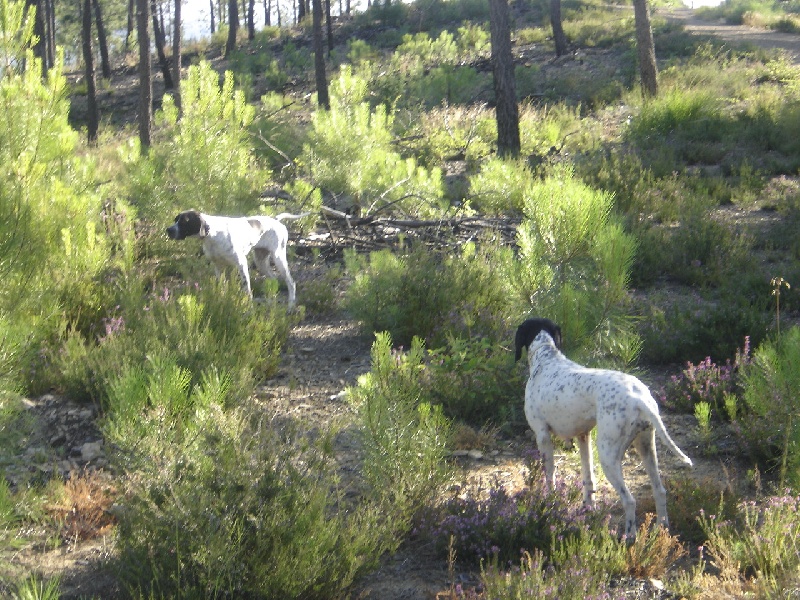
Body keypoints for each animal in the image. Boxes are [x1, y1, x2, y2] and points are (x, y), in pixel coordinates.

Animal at [516, 316, 692, 536]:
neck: (546, 358)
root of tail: (639, 398)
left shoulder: (543, 436)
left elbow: (550, 477)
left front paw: (550, 503)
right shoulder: (583, 437)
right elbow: (588, 478)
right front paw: (587, 508)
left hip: (608, 456)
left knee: (629, 500)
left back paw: (629, 536)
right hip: (646, 447)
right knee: (659, 491)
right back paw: (661, 529)